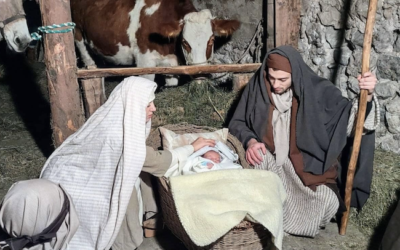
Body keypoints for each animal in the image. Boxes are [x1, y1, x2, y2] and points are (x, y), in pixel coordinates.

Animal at [71, 0, 239, 86]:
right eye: (185, 42)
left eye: (211, 40)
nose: (201, 73)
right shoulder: (145, 62)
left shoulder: (171, 62)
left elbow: (171, 83)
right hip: (77, 29)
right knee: (82, 48)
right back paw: (91, 67)